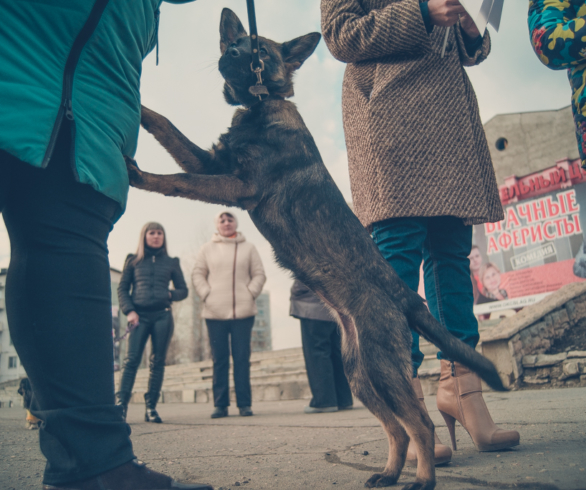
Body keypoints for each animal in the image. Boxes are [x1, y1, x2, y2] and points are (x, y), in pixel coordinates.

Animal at [126, 8, 506, 490]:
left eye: (258, 50)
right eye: (234, 44)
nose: (230, 54)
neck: (261, 105)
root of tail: (407, 297)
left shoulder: (233, 185)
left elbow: (177, 181)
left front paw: (140, 175)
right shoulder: (210, 162)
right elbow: (164, 125)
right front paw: (137, 105)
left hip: (380, 366)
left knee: (419, 423)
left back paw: (422, 479)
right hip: (360, 375)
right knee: (397, 428)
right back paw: (388, 472)